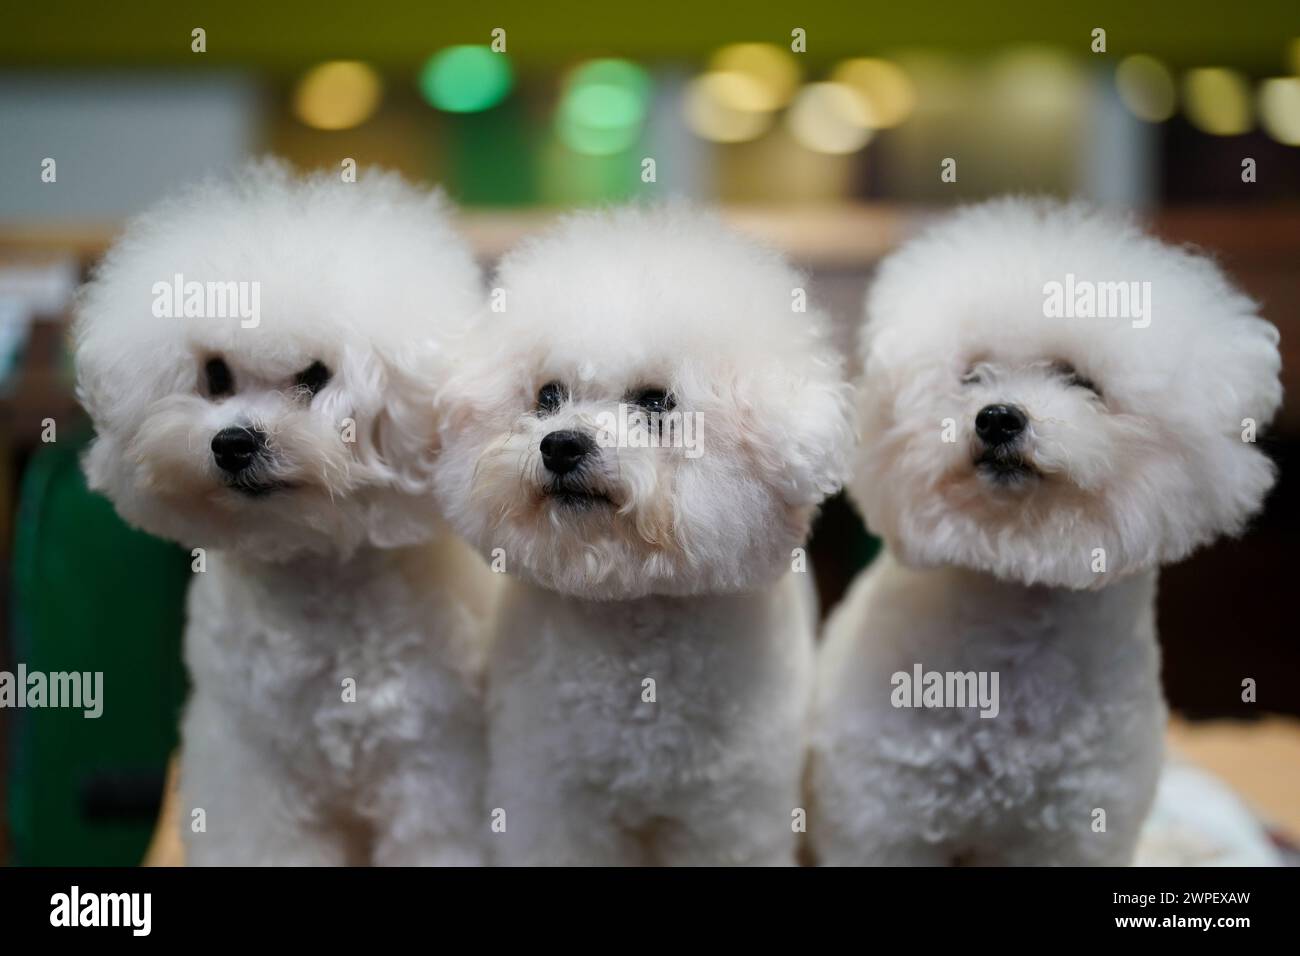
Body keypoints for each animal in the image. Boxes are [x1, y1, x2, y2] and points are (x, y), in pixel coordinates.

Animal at [74, 162, 496, 868]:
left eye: (315, 375)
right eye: (215, 374)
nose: (233, 443)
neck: (314, 575)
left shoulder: (432, 763)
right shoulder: (252, 768)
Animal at [436, 208, 852, 868]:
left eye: (657, 402)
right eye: (547, 395)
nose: (560, 444)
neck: (636, 619)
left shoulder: (728, 814)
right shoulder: (552, 795)